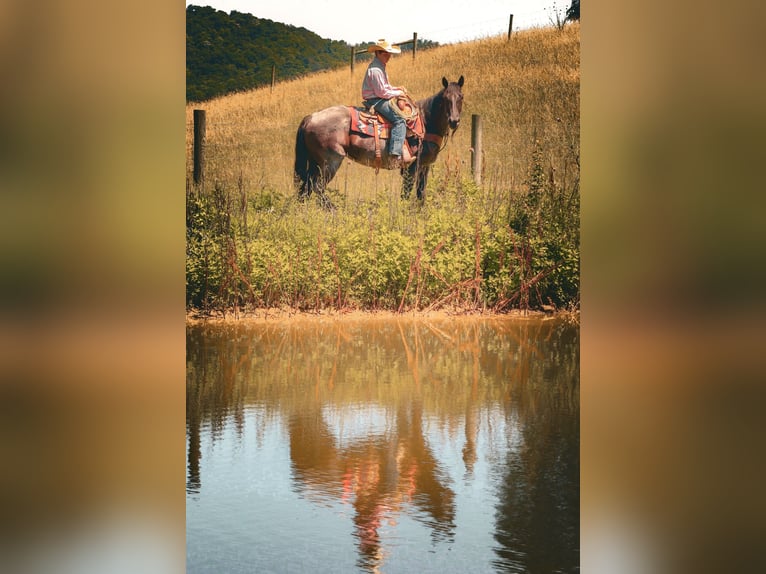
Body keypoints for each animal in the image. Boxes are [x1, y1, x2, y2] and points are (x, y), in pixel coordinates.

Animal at [292, 75, 462, 208]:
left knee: (305, 188)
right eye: (445, 98)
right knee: (317, 187)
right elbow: (406, 193)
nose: (454, 121)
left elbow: (421, 194)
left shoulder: (424, 167)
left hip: (314, 162)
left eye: (461, 97)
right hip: (331, 162)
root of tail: (311, 118)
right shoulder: (412, 167)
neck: (426, 123)